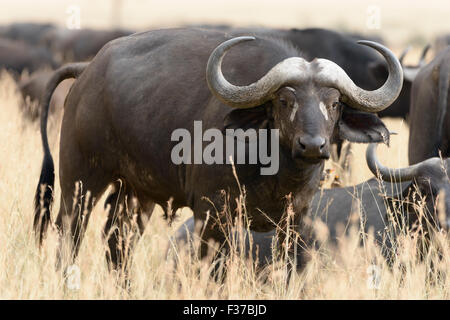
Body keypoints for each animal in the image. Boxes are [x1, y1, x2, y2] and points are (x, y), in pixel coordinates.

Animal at [32, 28, 400, 276]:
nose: (312, 145)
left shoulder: (294, 222)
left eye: (334, 103)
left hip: (136, 194)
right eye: (285, 100)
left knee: (118, 241)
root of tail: (86, 72)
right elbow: (213, 273)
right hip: (80, 180)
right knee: (70, 235)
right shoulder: (210, 215)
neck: (274, 172)